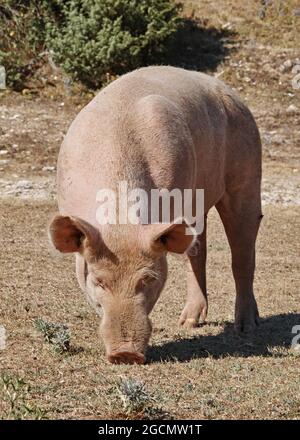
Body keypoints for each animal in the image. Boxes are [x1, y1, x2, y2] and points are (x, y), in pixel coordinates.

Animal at [48, 65, 262, 366]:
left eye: (147, 279)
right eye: (98, 280)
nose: (125, 354)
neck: (121, 222)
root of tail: (230, 92)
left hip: (247, 169)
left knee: (242, 250)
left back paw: (246, 326)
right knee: (197, 251)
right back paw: (188, 323)